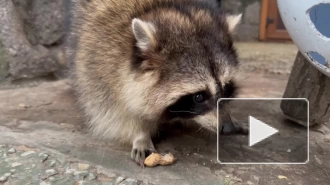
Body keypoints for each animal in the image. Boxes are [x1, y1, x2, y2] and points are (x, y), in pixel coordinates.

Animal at [67, 0, 248, 165]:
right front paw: (140, 134)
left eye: (226, 88)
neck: (166, 6)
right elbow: (115, 111)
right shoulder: (100, 61)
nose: (228, 128)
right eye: (199, 97)